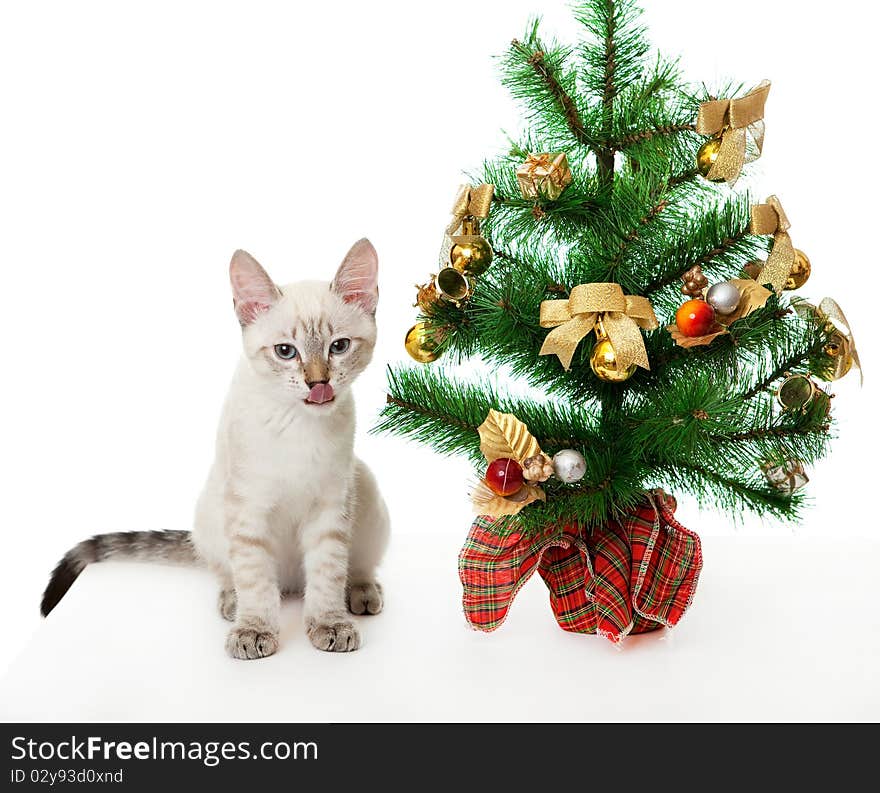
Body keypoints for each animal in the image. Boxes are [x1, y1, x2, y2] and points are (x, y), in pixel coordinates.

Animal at [39, 240, 386, 656]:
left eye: (340, 346)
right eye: (286, 351)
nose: (319, 384)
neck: (297, 425)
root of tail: (290, 584)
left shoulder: (331, 505)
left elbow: (328, 572)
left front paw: (329, 624)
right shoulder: (248, 505)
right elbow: (253, 575)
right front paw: (254, 630)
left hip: (364, 487)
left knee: (355, 566)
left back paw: (362, 593)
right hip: (210, 508)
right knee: (233, 573)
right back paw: (233, 601)